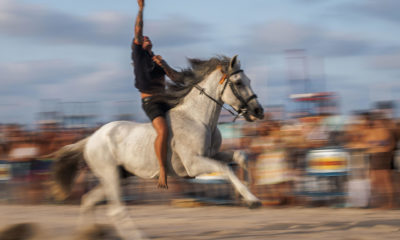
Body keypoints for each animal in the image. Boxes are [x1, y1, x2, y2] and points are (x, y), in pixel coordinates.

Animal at [48, 54, 264, 240]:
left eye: (249, 80)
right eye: (239, 82)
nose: (258, 111)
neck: (198, 119)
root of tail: (91, 138)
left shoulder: (212, 154)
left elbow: (240, 156)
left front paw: (248, 188)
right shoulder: (193, 164)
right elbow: (225, 168)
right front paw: (253, 200)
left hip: (117, 176)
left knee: (88, 200)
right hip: (110, 175)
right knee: (115, 209)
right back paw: (137, 236)